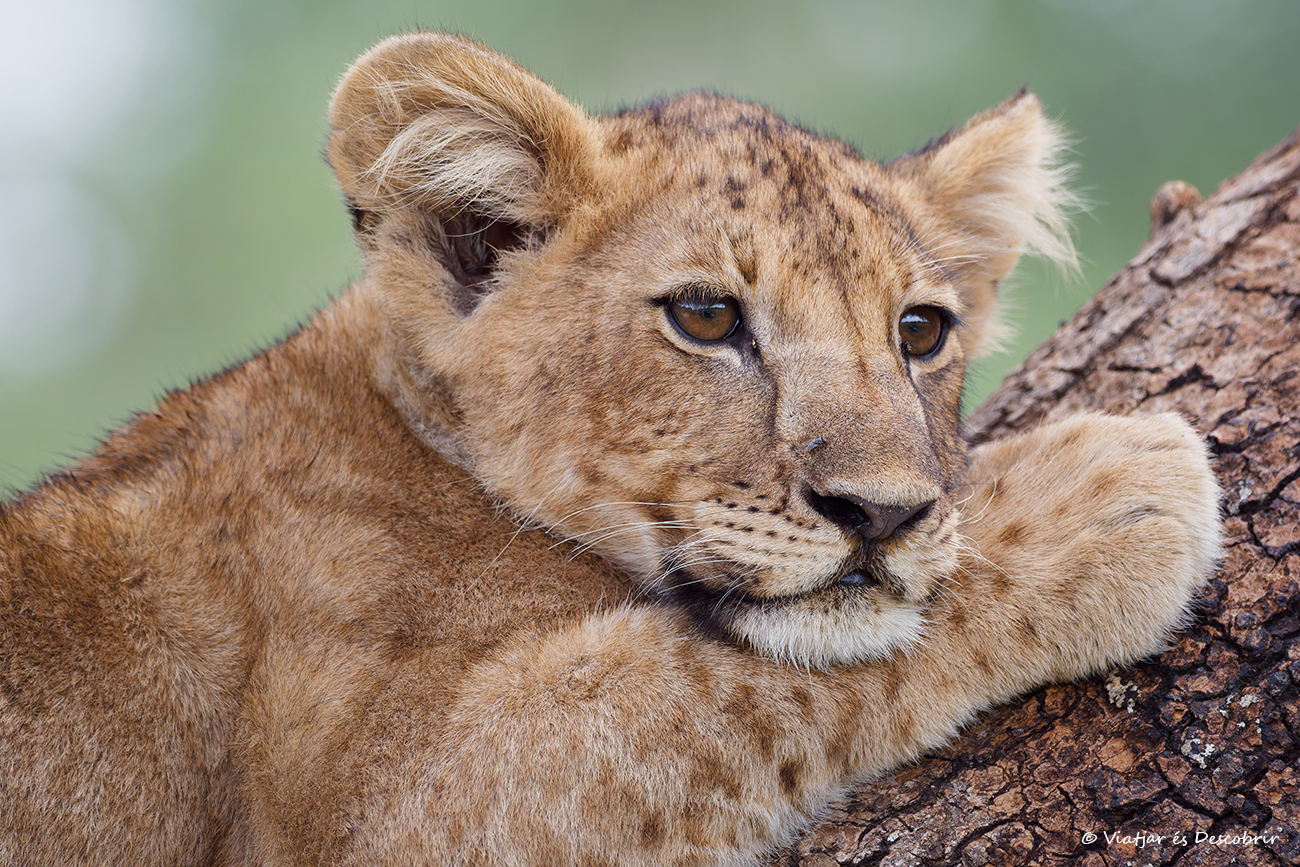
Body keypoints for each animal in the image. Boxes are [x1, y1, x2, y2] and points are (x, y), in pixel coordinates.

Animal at [0, 32, 1220, 866]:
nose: (881, 514)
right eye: (706, 317)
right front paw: (1105, 493)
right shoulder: (376, 809)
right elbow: (696, 684)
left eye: (919, 332)